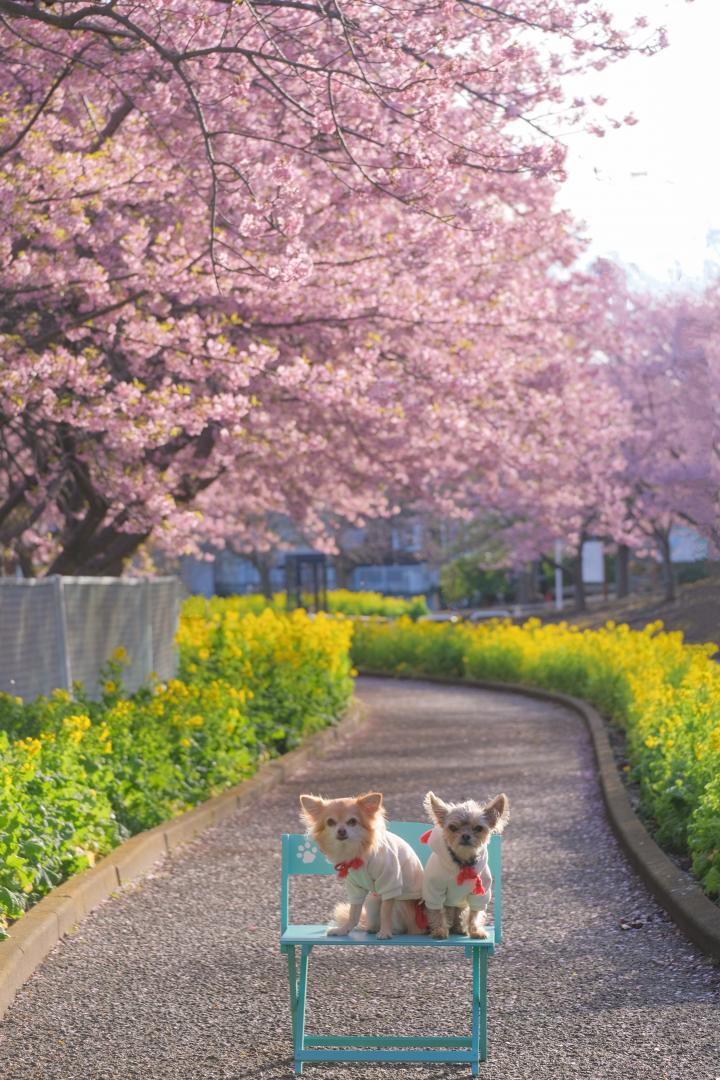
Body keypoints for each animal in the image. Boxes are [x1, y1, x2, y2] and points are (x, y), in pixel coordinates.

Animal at [300, 794, 425, 937]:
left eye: (352, 821)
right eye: (330, 822)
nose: (341, 830)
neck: (356, 854)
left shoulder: (390, 882)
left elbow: (385, 911)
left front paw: (385, 932)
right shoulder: (355, 888)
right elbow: (353, 913)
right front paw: (344, 929)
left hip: (401, 905)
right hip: (372, 900)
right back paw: (372, 928)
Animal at [423, 790, 507, 941]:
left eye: (478, 828)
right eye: (453, 827)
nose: (466, 836)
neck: (463, 863)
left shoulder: (480, 894)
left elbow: (474, 914)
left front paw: (475, 931)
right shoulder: (434, 891)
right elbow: (437, 911)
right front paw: (439, 930)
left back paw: (460, 928)